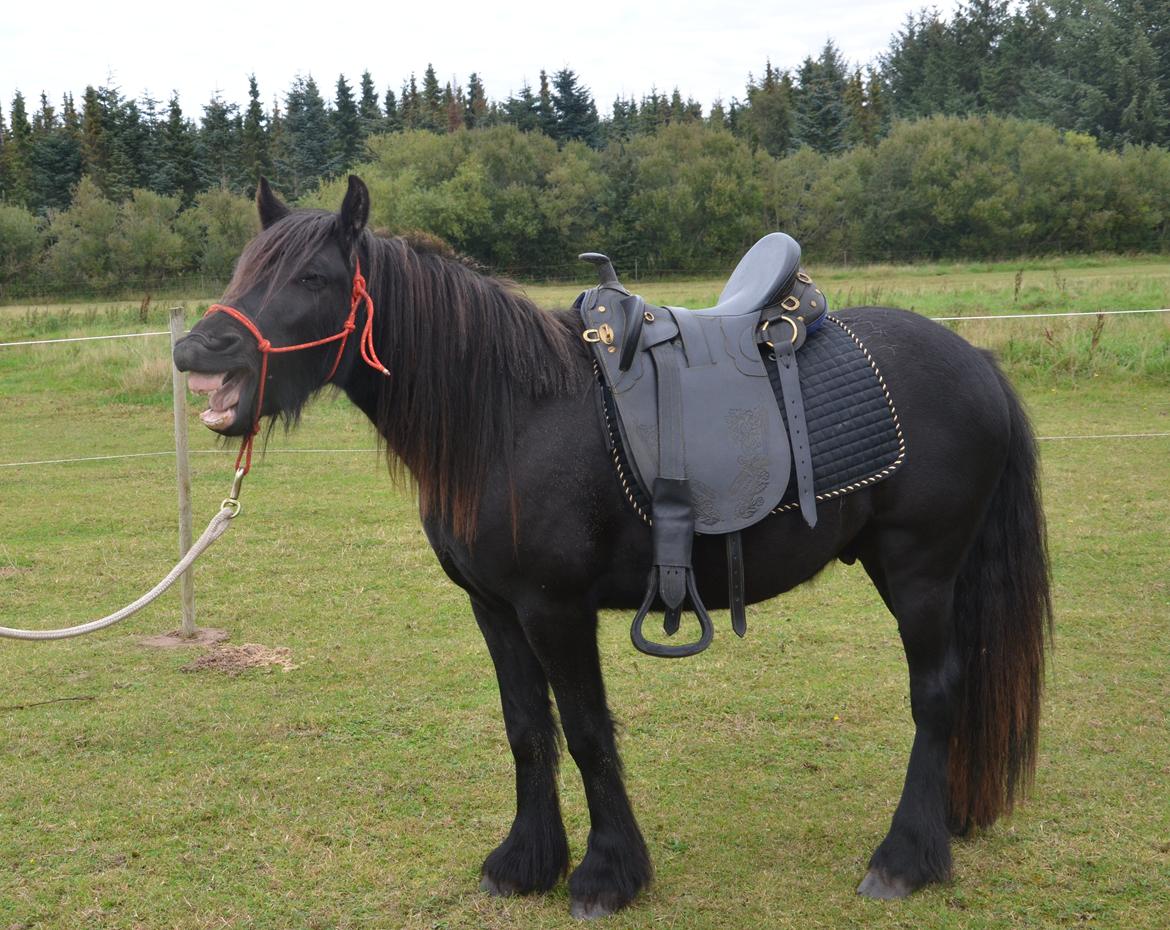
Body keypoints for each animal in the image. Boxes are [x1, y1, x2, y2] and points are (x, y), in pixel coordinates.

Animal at [170, 177, 1053, 921]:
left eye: (314, 278)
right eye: (246, 268)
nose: (196, 350)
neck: (510, 414)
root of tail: (976, 361)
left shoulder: (556, 610)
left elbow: (589, 731)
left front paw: (606, 875)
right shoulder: (494, 610)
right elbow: (528, 729)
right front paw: (526, 863)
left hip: (918, 570)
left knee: (936, 694)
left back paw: (905, 858)